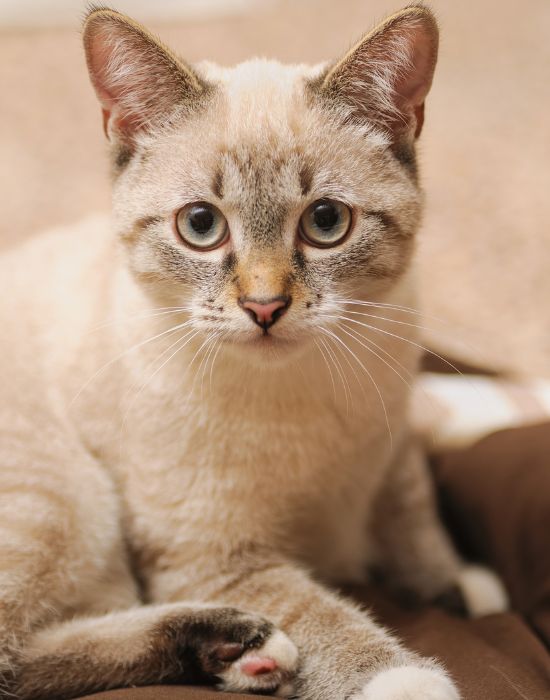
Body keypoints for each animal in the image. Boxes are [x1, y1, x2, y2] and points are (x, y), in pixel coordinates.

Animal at [0, 5, 512, 700]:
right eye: (200, 225)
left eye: (325, 222)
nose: (265, 307)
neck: (304, 390)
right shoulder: (214, 559)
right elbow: (320, 610)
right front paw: (405, 679)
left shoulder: (394, 438)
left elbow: (413, 514)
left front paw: (458, 586)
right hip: (64, 495)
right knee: (13, 659)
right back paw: (240, 644)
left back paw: (228, 649)